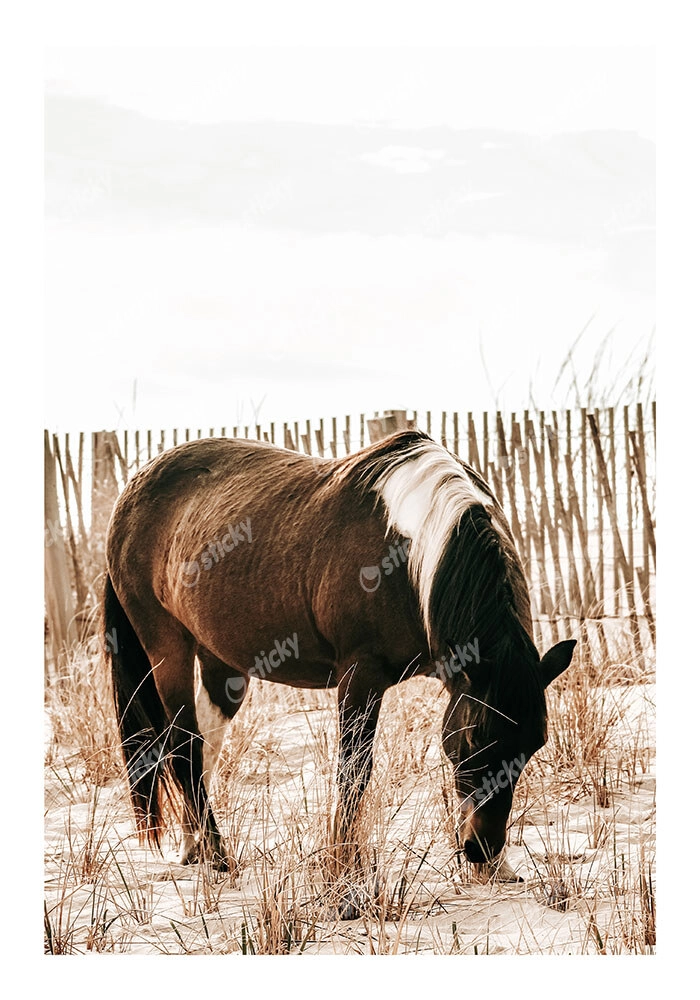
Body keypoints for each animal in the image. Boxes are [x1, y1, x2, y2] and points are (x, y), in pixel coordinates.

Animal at [104, 429, 575, 906]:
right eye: (474, 739)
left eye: (535, 743)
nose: (483, 849)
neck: (413, 552)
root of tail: (132, 491)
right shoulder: (360, 675)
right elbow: (353, 774)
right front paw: (343, 874)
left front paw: (500, 868)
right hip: (169, 648)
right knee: (183, 744)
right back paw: (217, 855)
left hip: (221, 661)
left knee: (200, 744)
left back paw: (193, 845)